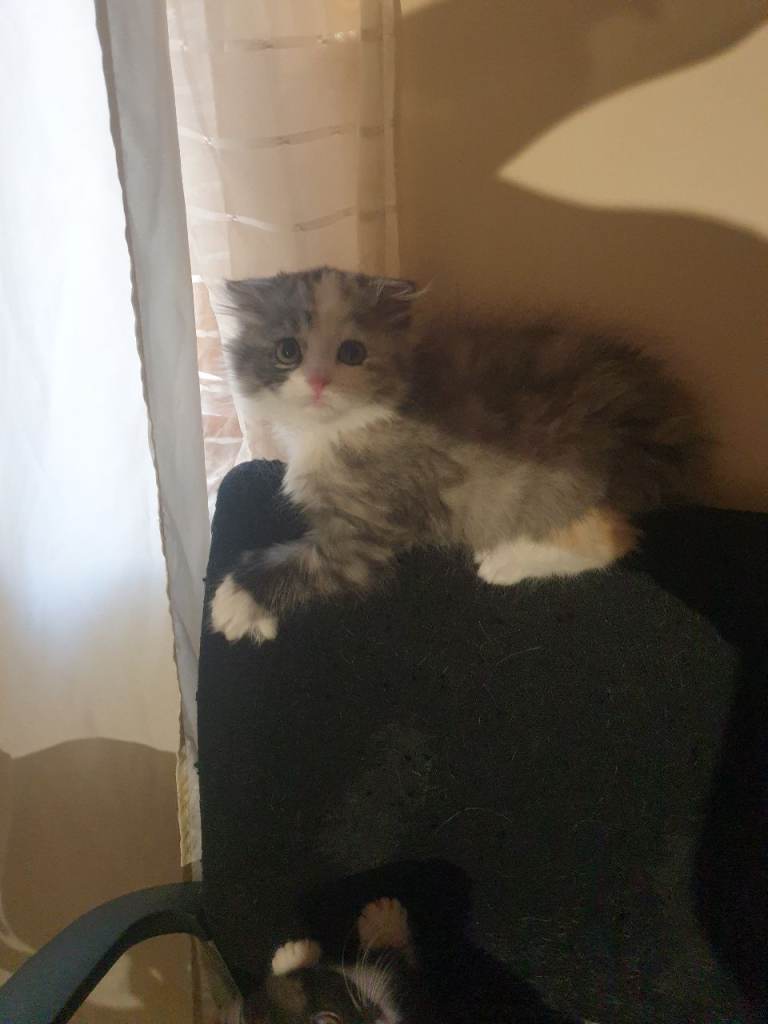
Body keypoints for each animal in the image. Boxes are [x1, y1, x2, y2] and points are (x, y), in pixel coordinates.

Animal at [210, 267, 702, 644]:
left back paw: (504, 561)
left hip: (553, 476)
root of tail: (661, 415)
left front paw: (234, 604)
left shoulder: (365, 532)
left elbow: (303, 565)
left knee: (613, 536)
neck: (337, 429)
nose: (317, 382)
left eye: (352, 353)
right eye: (287, 351)